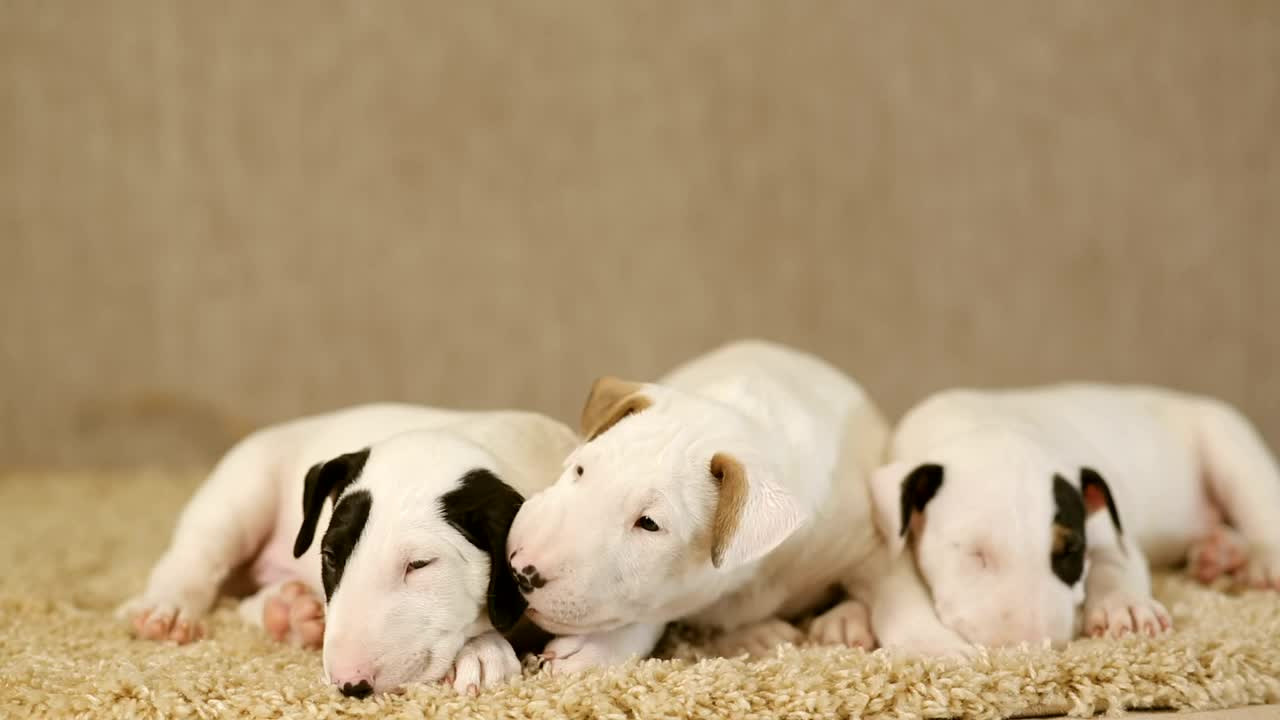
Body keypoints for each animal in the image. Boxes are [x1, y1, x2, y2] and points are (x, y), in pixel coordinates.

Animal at [120, 399, 581, 691]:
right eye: (329, 556)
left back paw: (290, 612)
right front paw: (483, 652)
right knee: (195, 557)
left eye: (420, 564)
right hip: (241, 490)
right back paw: (168, 609)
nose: (348, 684)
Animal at [870, 384, 1280, 648]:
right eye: (975, 554)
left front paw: (1124, 608)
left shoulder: (1110, 530)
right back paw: (1217, 554)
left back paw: (1259, 564)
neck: (985, 425)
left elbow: (1114, 561)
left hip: (1230, 446)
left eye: (1070, 551)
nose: (1032, 645)